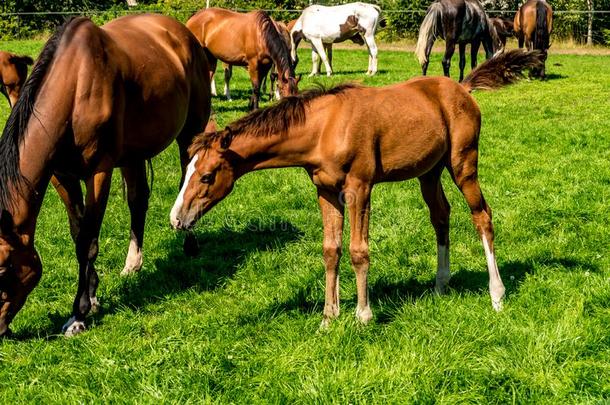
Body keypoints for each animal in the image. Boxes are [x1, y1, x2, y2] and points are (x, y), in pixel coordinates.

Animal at [0, 14, 211, 336]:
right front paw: (94, 296)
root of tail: (182, 33)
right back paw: (132, 264)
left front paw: (79, 314)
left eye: (3, 267)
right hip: (133, 154)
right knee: (138, 201)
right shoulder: (61, 176)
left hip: (190, 132)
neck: (75, 85)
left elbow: (88, 241)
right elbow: (78, 232)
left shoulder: (98, 173)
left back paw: (189, 242)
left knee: (186, 180)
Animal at [169, 49, 540, 326]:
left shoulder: (359, 188)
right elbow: (330, 250)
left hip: (463, 164)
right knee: (441, 216)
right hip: (429, 173)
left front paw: (363, 315)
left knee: (482, 216)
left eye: (207, 175)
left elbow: (358, 250)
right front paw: (328, 316)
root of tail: (463, 88)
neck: (325, 127)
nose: (176, 219)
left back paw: (497, 295)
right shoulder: (325, 191)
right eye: (187, 170)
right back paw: (440, 285)